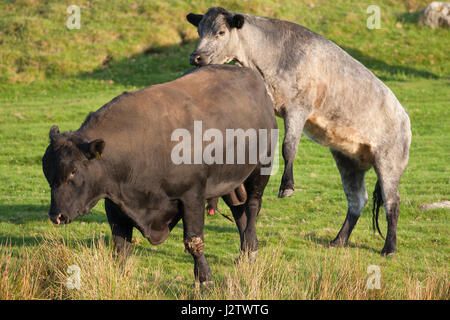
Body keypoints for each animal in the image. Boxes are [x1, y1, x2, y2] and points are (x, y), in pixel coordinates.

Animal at [186, 6, 412, 255]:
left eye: (221, 32)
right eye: (199, 30)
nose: (195, 57)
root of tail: (404, 116)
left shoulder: (298, 108)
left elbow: (289, 147)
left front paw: (287, 186)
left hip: (389, 160)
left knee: (392, 202)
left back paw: (389, 247)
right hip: (347, 160)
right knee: (357, 199)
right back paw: (339, 240)